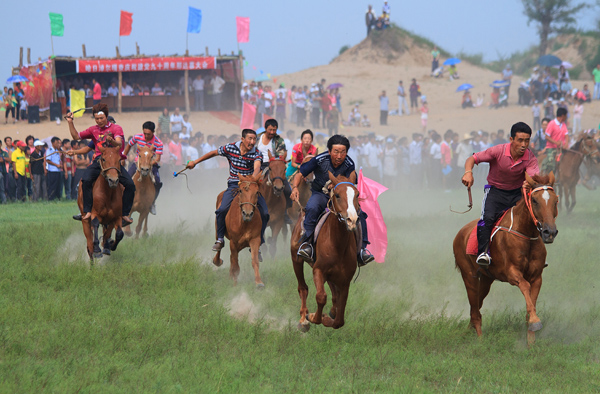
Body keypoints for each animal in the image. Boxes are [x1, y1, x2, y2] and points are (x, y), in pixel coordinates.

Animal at [292, 171, 360, 330]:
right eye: (337, 195)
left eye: (357, 194)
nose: (352, 220)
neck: (338, 244)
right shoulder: (318, 269)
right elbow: (321, 296)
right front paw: (313, 317)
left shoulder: (345, 280)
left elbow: (339, 319)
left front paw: (327, 317)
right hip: (296, 259)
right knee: (303, 287)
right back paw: (303, 320)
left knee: (334, 294)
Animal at [452, 174, 560, 344]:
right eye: (534, 200)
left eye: (555, 200)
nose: (550, 232)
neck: (526, 234)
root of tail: (460, 233)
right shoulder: (511, 273)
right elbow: (524, 286)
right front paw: (535, 321)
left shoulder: (537, 277)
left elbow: (531, 303)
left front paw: (531, 341)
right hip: (469, 275)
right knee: (475, 308)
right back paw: (480, 340)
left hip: (487, 279)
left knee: (476, 305)